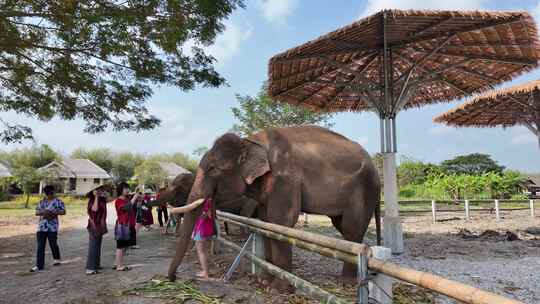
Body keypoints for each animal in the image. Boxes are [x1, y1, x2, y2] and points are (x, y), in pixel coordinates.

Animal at [167, 125, 382, 290]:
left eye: (213, 169)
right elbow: (267, 222)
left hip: (364, 190)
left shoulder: (284, 178)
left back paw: (346, 282)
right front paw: (265, 281)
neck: (250, 141)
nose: (173, 278)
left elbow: (281, 222)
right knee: (344, 227)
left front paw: (278, 289)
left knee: (352, 227)